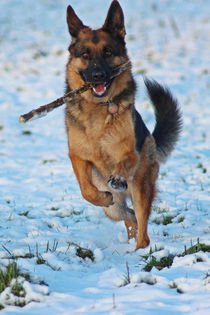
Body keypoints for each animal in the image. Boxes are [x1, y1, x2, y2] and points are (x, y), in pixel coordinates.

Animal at [65, 1, 181, 251]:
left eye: (108, 52)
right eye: (85, 55)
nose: (98, 75)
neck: (99, 108)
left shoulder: (129, 152)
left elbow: (125, 160)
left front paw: (118, 176)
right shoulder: (78, 156)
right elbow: (86, 190)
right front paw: (99, 196)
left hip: (140, 188)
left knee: (142, 228)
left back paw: (138, 252)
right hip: (113, 210)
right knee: (128, 215)